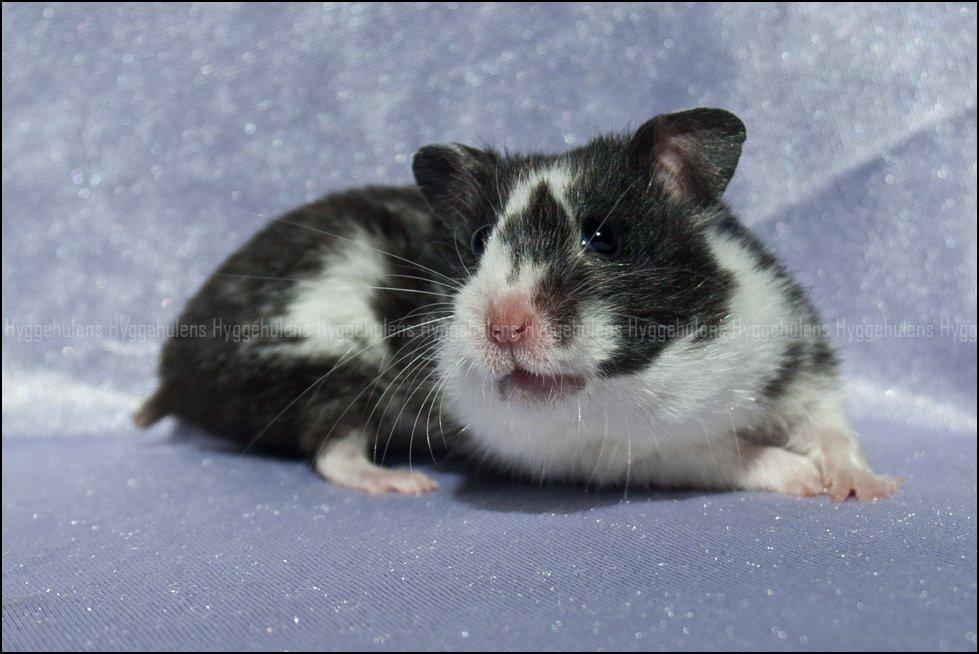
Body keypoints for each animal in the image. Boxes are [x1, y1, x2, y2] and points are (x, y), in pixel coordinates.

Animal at [136, 107, 899, 500]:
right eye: (477, 242)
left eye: (604, 237)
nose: (503, 328)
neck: (662, 372)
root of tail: (171, 373)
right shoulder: (630, 457)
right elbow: (737, 455)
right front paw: (808, 482)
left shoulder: (798, 360)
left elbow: (832, 426)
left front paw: (867, 488)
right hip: (327, 368)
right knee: (332, 448)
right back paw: (402, 484)